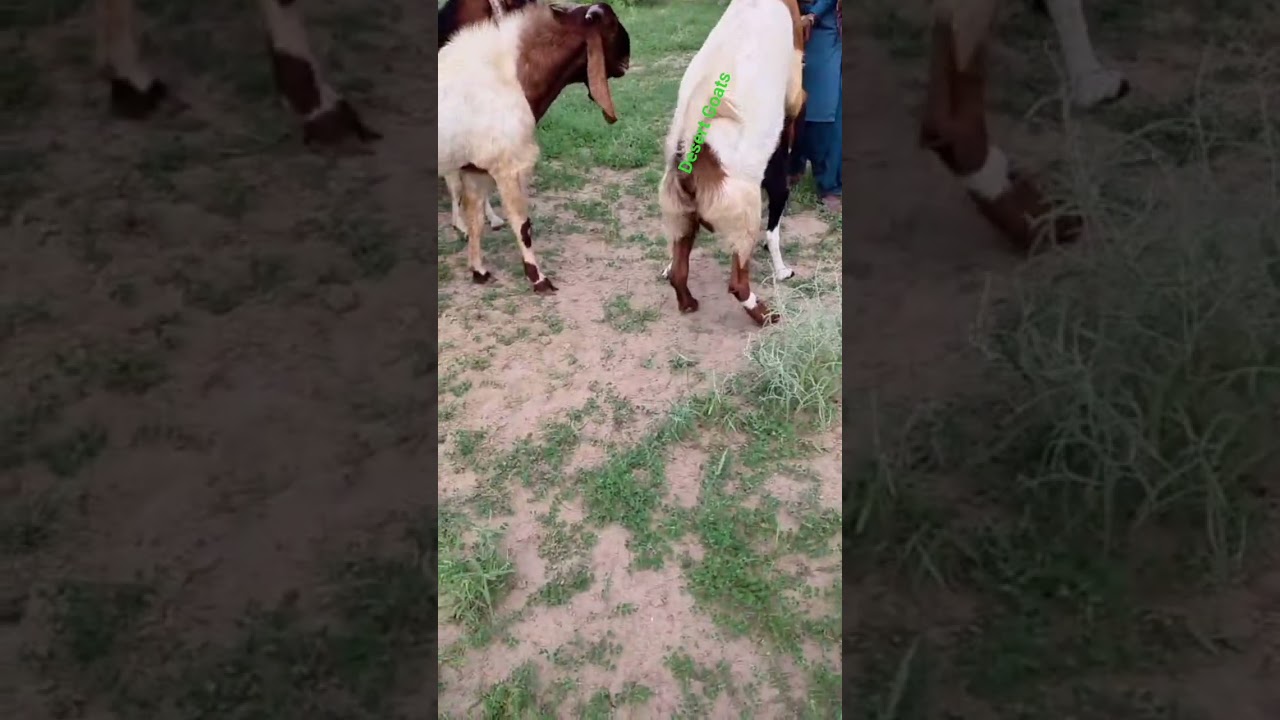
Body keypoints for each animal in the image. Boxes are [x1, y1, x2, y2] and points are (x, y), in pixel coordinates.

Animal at [657, 0, 807, 327]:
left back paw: (688, 303)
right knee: (738, 283)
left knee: (679, 272)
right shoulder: (794, 88)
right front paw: (782, 270)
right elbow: (773, 234)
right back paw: (764, 314)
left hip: (681, 218)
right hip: (744, 219)